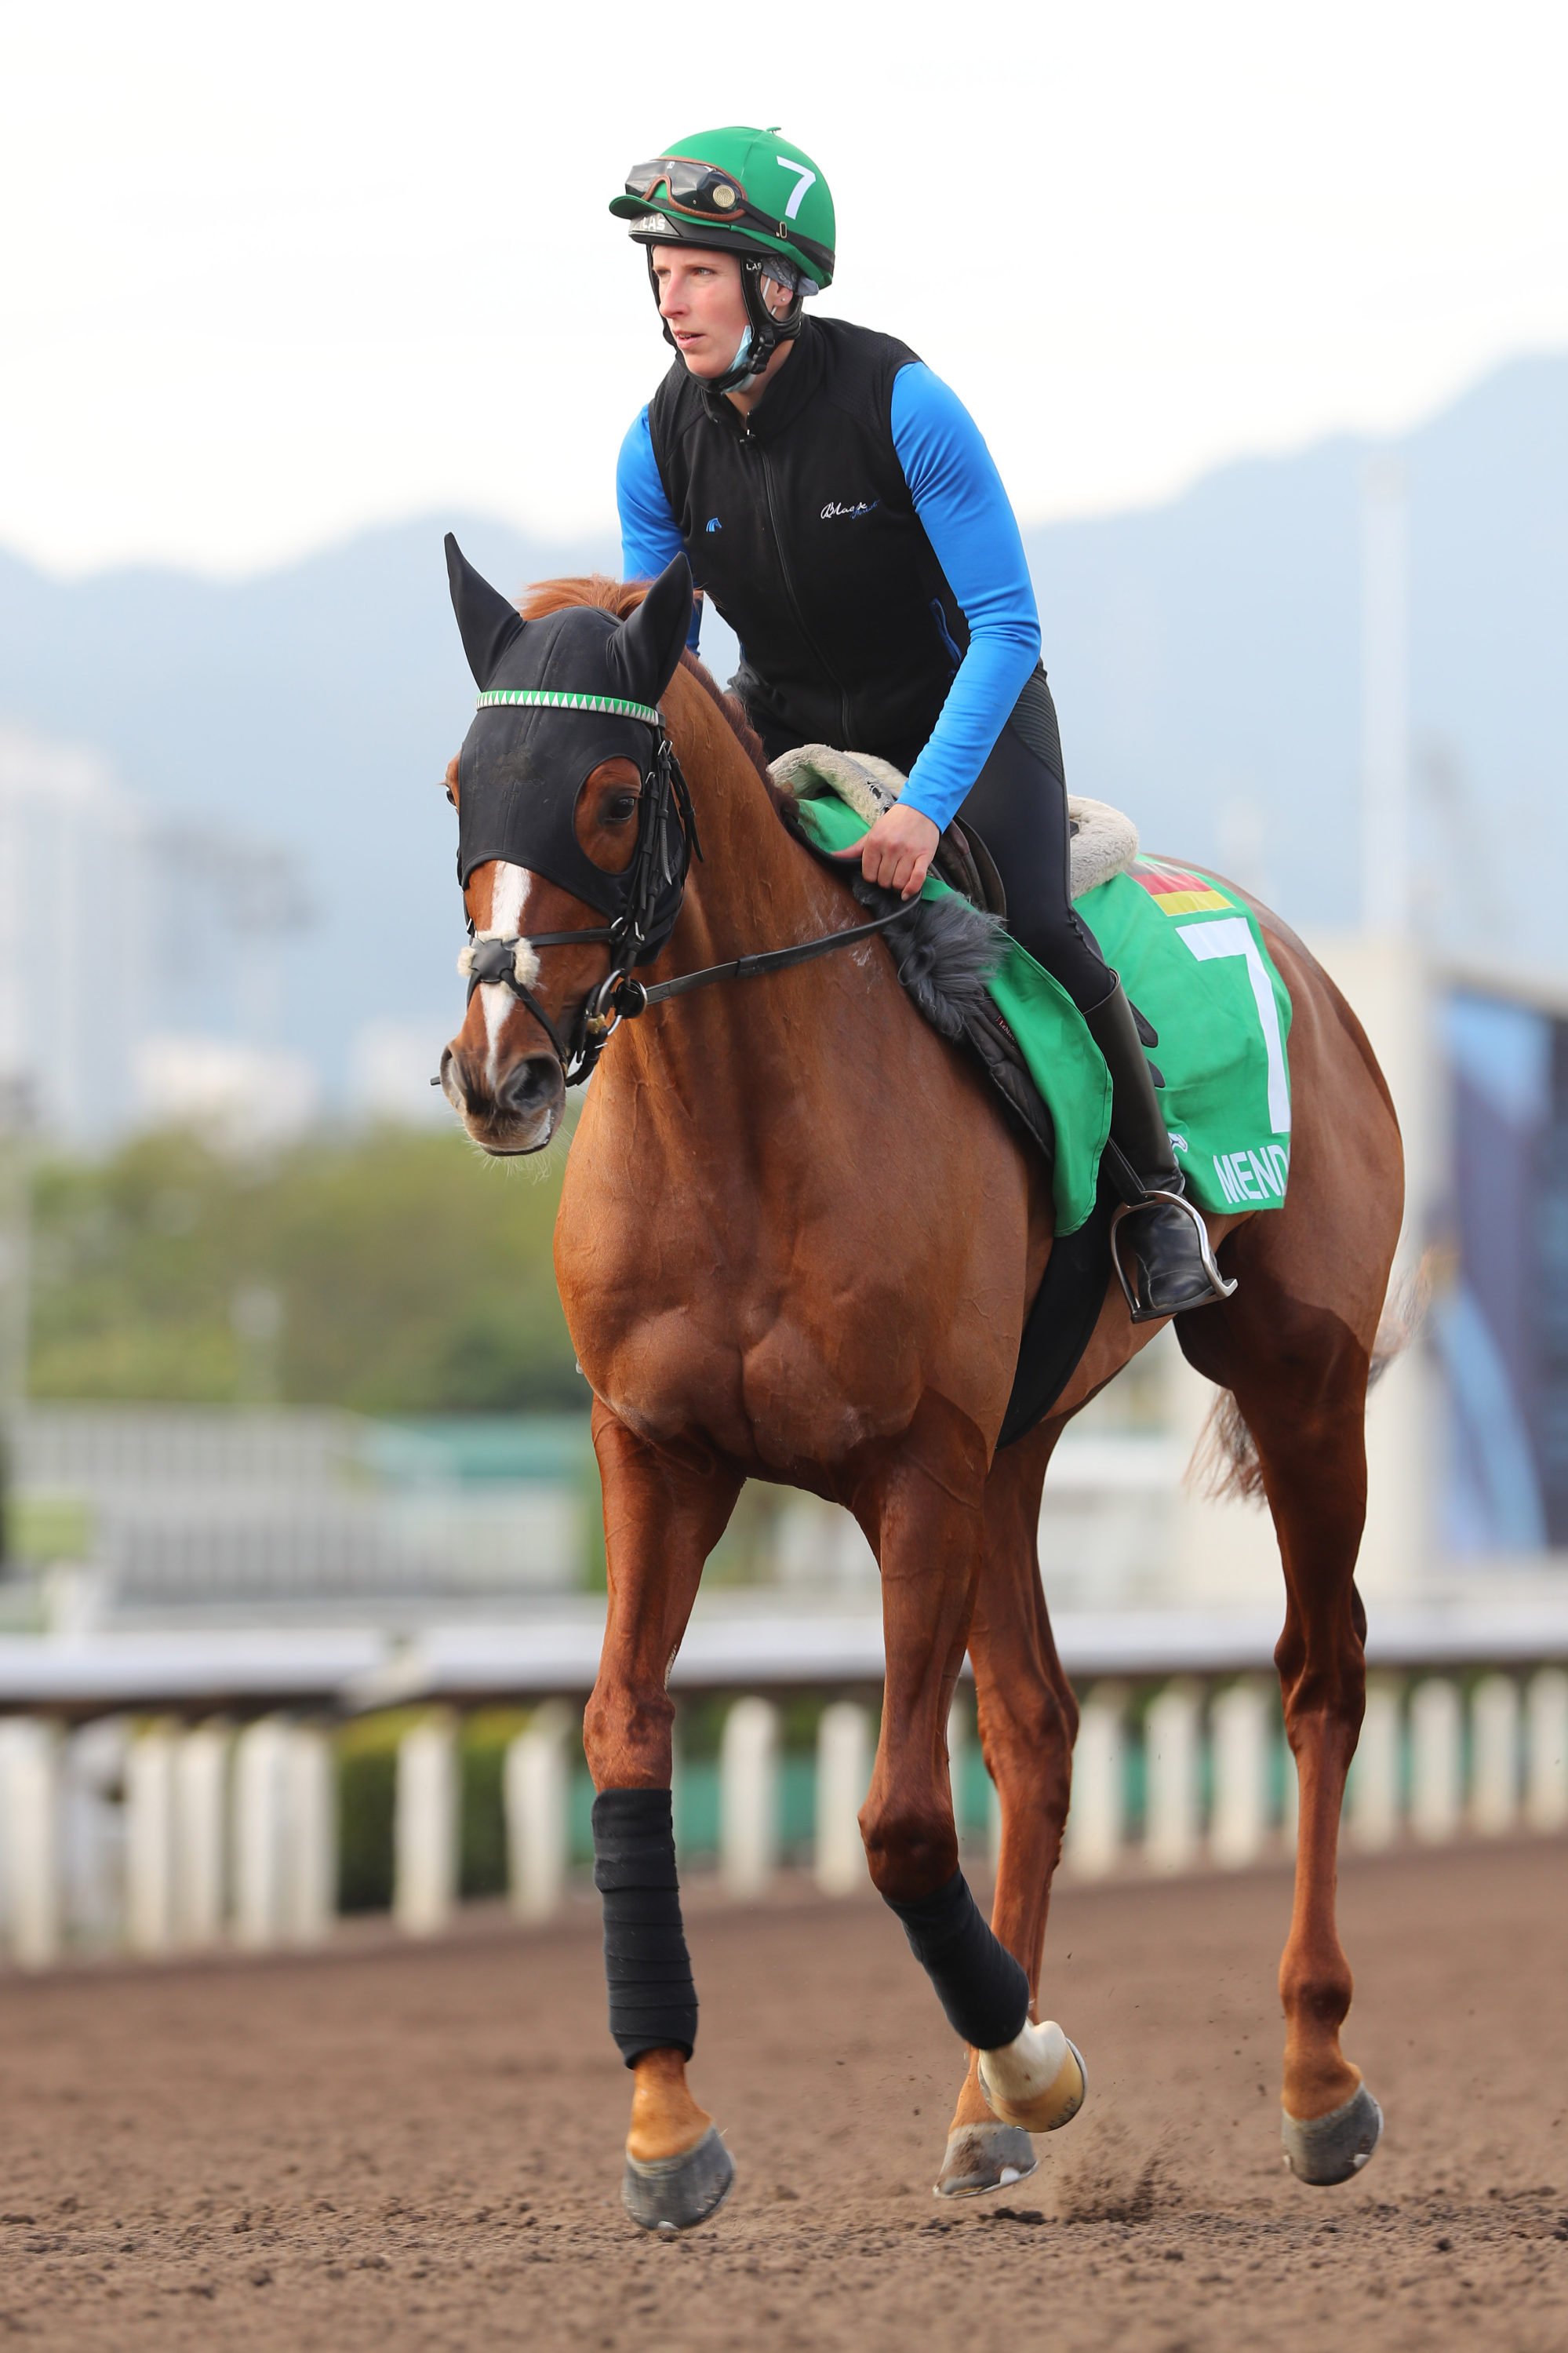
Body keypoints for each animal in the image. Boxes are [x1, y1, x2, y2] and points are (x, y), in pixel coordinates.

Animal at [435, 541, 1401, 2231]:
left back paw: (1313, 2075)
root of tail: (1304, 967)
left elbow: (894, 1820)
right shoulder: (659, 1447)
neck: (742, 1124)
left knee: (1318, 1676)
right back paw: (978, 2108)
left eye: (609, 796)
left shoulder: (917, 1468)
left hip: (1298, 1376)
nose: (500, 1071)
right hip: (1020, 1445)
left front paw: (1040, 2062)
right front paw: (668, 2124)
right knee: (1037, 1725)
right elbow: (624, 1735)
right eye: (455, 787)